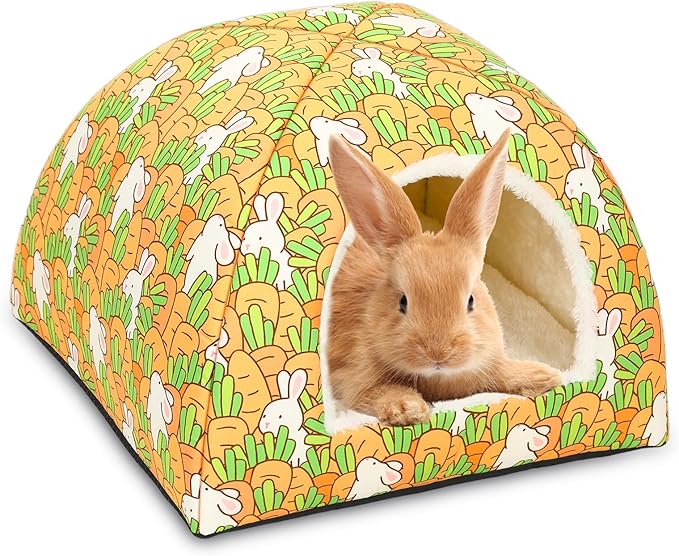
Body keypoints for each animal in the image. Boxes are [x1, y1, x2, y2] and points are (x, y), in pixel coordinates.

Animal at [326, 129, 562, 426]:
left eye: (471, 301)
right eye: (402, 302)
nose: (437, 353)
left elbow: (503, 372)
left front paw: (545, 376)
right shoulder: (356, 378)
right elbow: (377, 392)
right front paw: (408, 409)